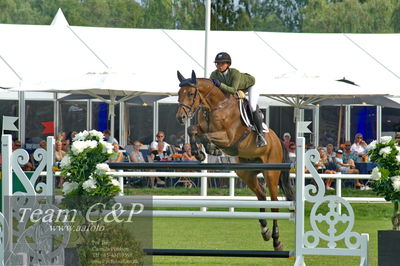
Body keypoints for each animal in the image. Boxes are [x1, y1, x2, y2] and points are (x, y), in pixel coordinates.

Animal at [177, 69, 296, 250]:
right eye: (178, 93)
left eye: (191, 93)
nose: (180, 117)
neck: (214, 106)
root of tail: (278, 141)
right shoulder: (202, 127)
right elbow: (193, 130)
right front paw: (199, 153)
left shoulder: (228, 138)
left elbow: (206, 136)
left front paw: (210, 149)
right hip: (246, 172)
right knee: (261, 195)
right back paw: (265, 230)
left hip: (271, 172)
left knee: (275, 204)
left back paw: (276, 240)